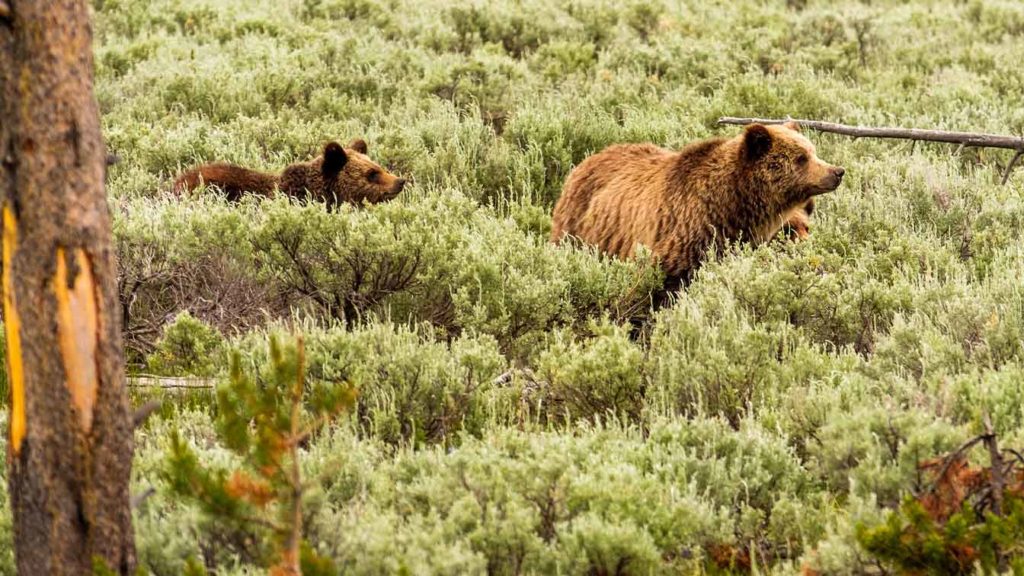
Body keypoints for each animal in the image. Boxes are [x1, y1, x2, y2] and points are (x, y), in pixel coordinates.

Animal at [557, 120, 843, 282]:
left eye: (813, 151)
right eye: (801, 158)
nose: (837, 171)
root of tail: (585, 161)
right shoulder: (685, 233)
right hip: (579, 229)